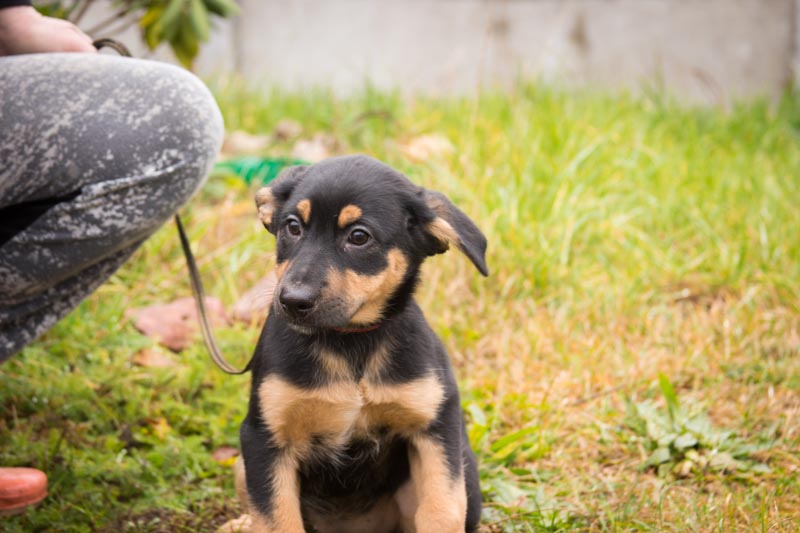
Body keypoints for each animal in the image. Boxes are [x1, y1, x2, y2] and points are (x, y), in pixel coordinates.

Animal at [229, 155, 488, 533]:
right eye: (292, 227)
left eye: (359, 236)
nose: (292, 301)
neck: (348, 343)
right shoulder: (264, 438)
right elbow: (278, 519)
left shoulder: (435, 428)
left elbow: (442, 510)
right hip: (242, 464)